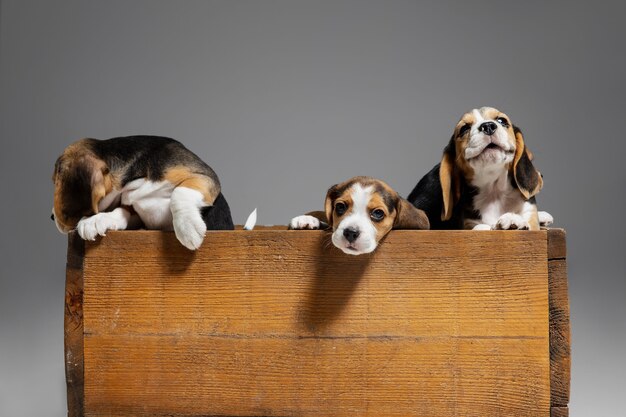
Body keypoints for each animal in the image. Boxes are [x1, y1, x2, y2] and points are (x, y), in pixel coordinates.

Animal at [50, 135, 236, 249]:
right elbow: (122, 211)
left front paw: (187, 227)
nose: (51, 217)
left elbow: (180, 193)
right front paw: (97, 220)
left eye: (54, 181)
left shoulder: (204, 176)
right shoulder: (136, 210)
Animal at [410, 106, 552, 231]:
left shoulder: (530, 214)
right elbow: (482, 227)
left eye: (502, 121)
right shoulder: (468, 224)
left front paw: (513, 220)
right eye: (464, 128)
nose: (488, 126)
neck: (494, 190)